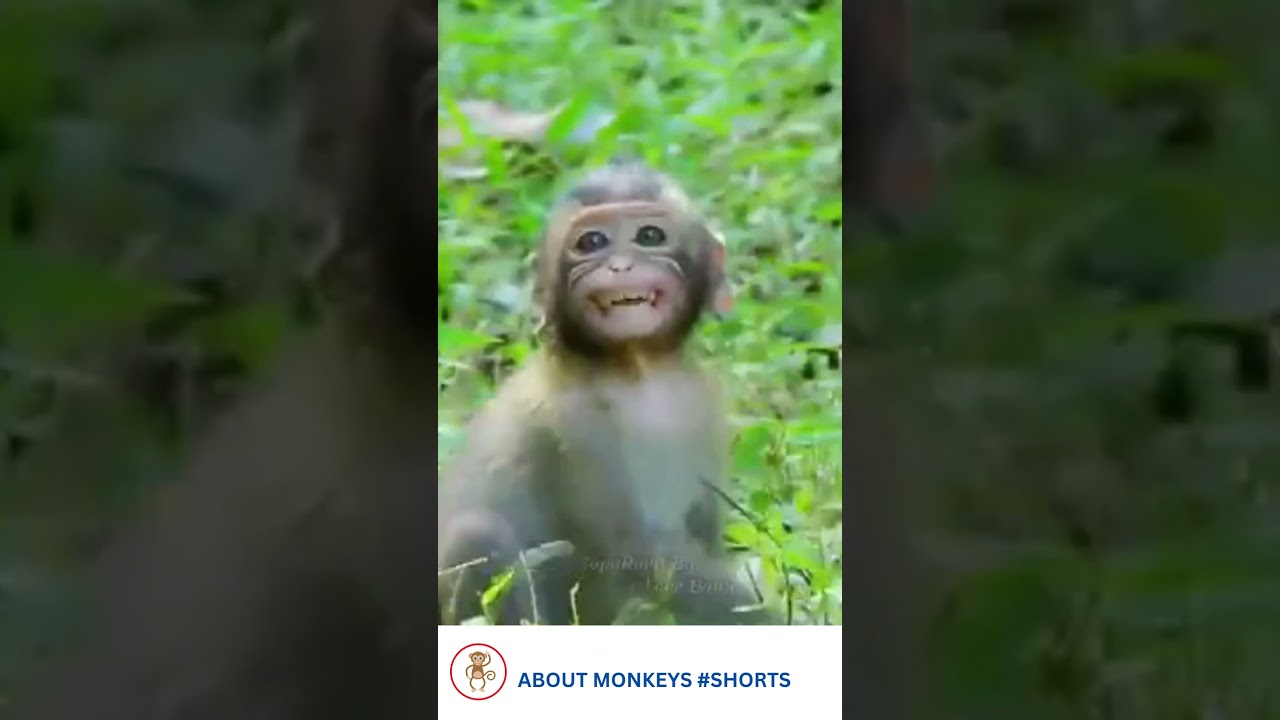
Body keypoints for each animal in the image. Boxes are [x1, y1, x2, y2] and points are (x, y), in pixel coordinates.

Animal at [436, 159, 778, 627]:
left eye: (649, 236)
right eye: (591, 242)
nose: (619, 266)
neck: (639, 370)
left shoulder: (701, 399)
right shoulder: (575, 419)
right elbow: (637, 551)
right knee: (476, 534)